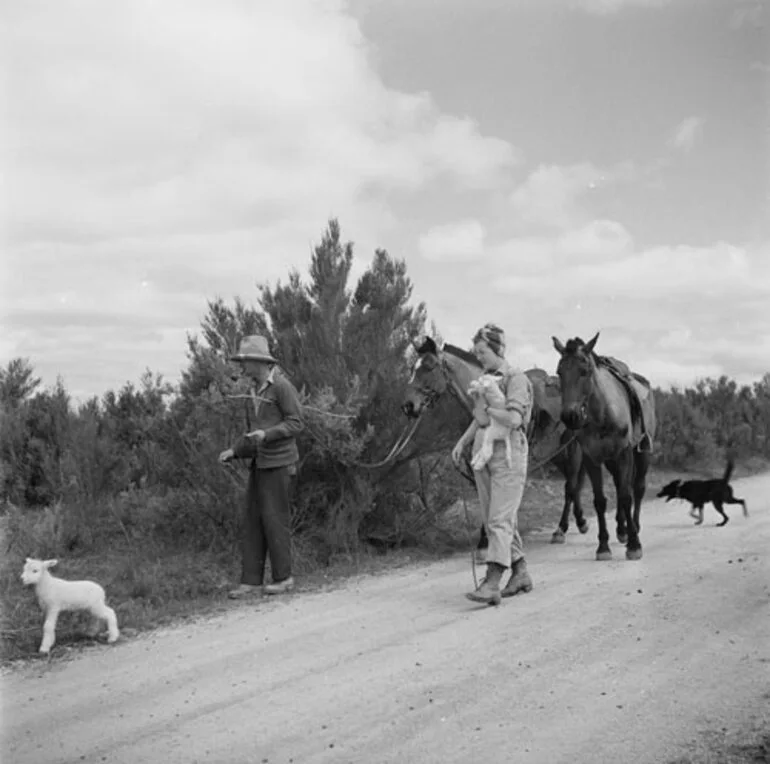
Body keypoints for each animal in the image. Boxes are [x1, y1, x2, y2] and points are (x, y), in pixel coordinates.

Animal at [402, 336, 588, 548]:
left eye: (429, 366)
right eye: (413, 368)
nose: (408, 406)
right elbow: (486, 498)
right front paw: (485, 539)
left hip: (573, 450)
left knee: (570, 487)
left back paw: (562, 529)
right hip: (557, 454)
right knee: (573, 486)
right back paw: (578, 522)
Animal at [552, 332, 656, 560]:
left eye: (585, 371)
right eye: (559, 372)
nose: (570, 416)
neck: (602, 414)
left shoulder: (624, 453)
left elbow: (626, 496)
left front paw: (634, 545)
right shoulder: (592, 458)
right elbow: (599, 500)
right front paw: (603, 546)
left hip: (641, 454)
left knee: (637, 488)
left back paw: (633, 527)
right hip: (608, 460)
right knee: (617, 484)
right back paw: (621, 528)